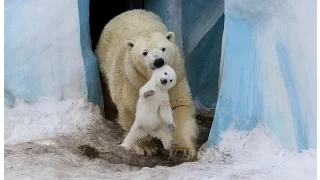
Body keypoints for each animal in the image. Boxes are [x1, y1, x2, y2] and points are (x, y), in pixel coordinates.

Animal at [95, 8, 198, 162]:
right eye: (144, 53)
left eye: (163, 48)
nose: (158, 61)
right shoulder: (131, 82)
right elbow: (132, 110)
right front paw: (146, 147)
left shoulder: (177, 78)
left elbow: (178, 106)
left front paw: (182, 150)